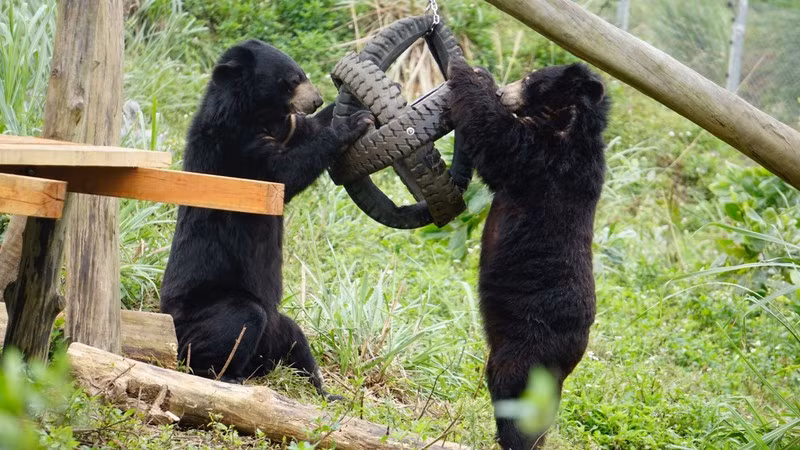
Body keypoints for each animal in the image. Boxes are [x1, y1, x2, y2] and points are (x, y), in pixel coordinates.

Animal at [160, 39, 373, 398]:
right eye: (291, 80)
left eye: (302, 73)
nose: (315, 100)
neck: (258, 116)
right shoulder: (238, 150)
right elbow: (284, 174)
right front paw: (353, 122)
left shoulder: (287, 127)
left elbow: (308, 130)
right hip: (206, 308)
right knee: (237, 322)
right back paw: (224, 375)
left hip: (278, 330)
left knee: (297, 342)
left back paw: (325, 391)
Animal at [447, 59, 609, 449]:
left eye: (530, 79)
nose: (502, 92)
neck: (566, 124)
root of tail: (574, 353)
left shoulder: (545, 161)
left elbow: (497, 143)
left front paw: (471, 73)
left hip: (529, 344)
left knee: (512, 391)